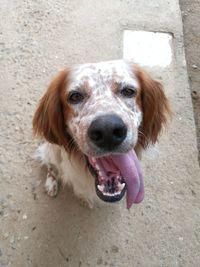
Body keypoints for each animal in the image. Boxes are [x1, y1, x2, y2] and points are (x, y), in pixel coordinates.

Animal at [32, 60, 170, 209]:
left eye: (128, 91)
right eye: (75, 96)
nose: (107, 131)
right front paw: (83, 198)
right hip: (51, 150)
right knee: (51, 165)